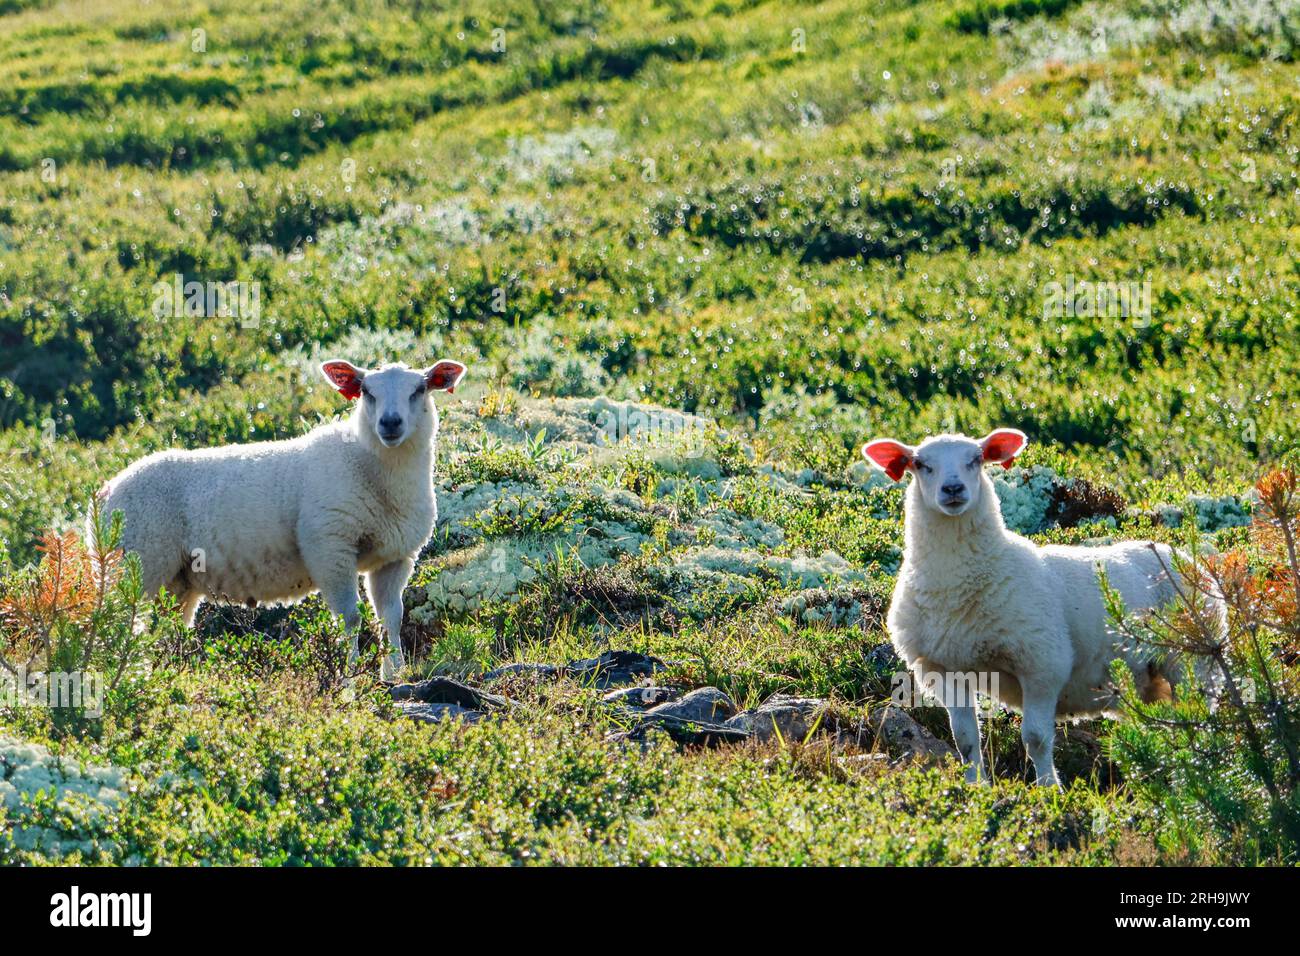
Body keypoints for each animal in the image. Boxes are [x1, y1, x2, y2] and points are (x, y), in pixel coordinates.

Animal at [100, 356, 467, 681]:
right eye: (366, 391)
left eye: (419, 389)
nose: (390, 424)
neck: (373, 467)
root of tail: (105, 492)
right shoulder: (330, 547)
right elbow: (349, 619)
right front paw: (348, 679)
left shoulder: (395, 556)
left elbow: (390, 617)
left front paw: (395, 673)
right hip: (135, 564)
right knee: (118, 625)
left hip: (176, 581)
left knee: (164, 631)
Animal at [863, 429, 1216, 785]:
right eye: (921, 464)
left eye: (976, 459)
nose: (953, 489)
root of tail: (1179, 555)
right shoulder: (944, 669)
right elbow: (965, 740)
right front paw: (976, 785)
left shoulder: (1042, 664)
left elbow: (1035, 738)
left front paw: (1049, 788)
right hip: (1150, 680)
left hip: (1192, 661)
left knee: (1200, 718)